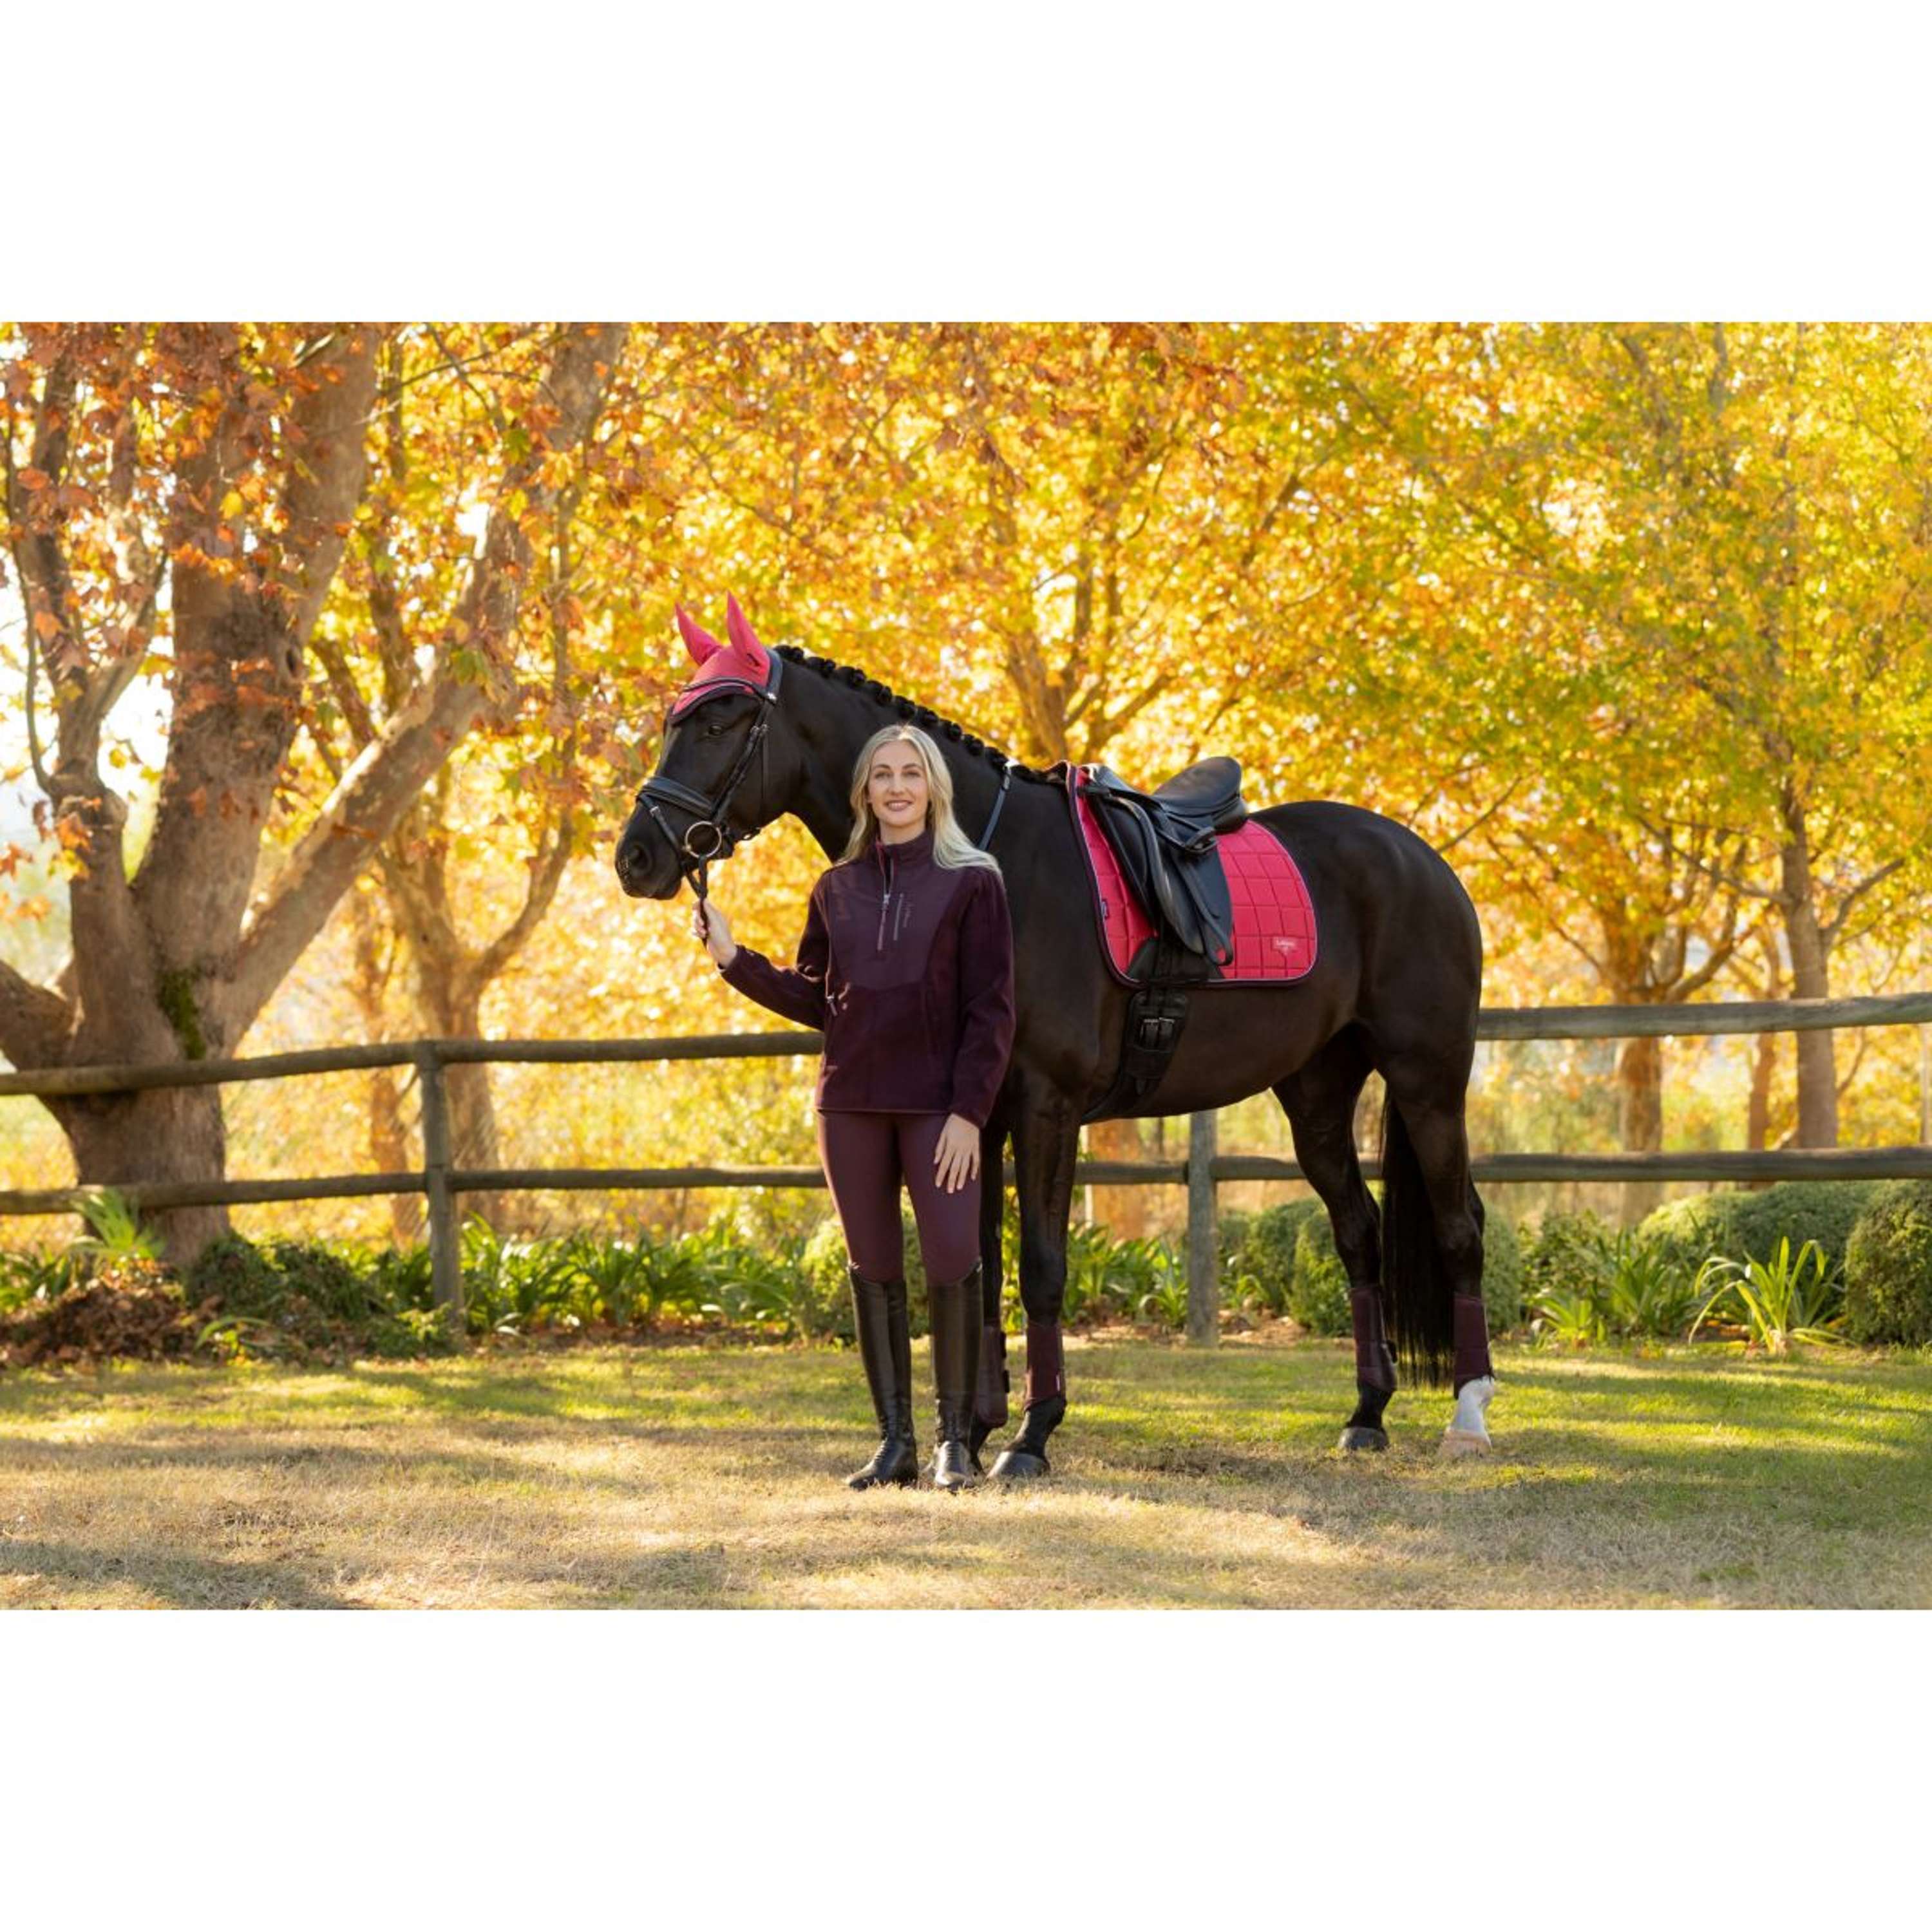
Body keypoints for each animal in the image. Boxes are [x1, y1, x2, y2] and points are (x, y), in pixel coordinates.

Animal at [614, 596, 1497, 1475]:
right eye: (673, 721)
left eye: (719, 722)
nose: (636, 857)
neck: (994, 859)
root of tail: (1422, 859)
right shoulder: (974, 1118)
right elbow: (978, 1263)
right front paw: (974, 1431)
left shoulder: (1047, 1109)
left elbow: (1041, 1268)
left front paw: (1031, 1436)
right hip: (1316, 1094)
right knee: (1359, 1233)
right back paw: (1367, 1411)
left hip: (1427, 1081)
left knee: (1459, 1229)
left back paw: (1469, 1414)